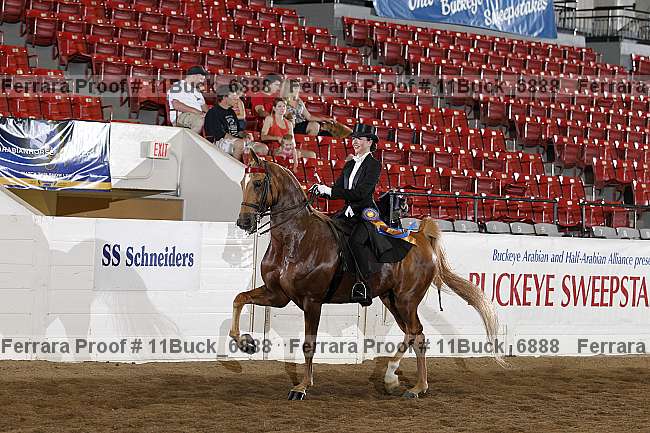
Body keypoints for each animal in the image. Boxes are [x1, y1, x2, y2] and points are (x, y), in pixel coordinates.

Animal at [231, 151, 503, 400]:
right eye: (243, 183)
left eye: (258, 183)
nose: (243, 222)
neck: (296, 238)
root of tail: (421, 238)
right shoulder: (277, 295)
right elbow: (239, 298)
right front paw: (246, 343)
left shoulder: (312, 301)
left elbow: (309, 344)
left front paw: (302, 387)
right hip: (391, 299)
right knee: (415, 335)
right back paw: (406, 383)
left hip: (406, 299)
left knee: (416, 332)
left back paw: (405, 382)